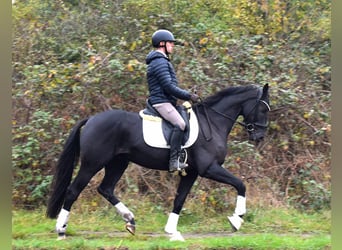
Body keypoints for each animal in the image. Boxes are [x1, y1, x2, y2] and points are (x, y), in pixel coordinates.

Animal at [46, 85, 270, 241]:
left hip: (118, 163)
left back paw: (130, 220)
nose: (260, 136)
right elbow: (241, 184)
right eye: (263, 109)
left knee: (106, 189)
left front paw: (172, 232)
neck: (213, 123)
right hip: (92, 164)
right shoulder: (209, 168)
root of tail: (91, 119)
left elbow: (179, 200)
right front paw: (236, 220)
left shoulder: (191, 173)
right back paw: (61, 230)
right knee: (73, 191)